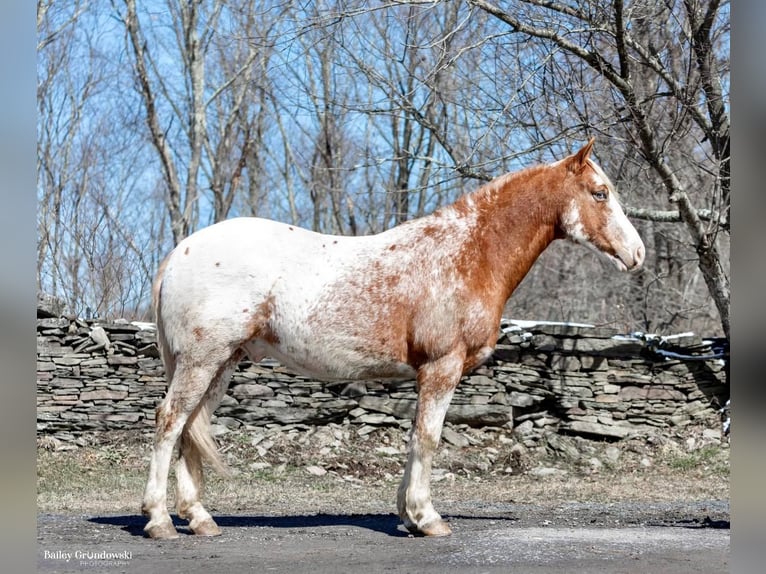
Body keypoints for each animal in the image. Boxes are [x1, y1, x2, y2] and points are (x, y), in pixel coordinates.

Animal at [141, 138, 644, 540]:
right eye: (600, 193)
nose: (637, 254)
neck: (466, 254)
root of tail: (180, 252)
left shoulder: (426, 373)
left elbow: (414, 437)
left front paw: (407, 515)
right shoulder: (442, 367)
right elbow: (429, 438)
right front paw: (428, 518)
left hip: (221, 363)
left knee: (191, 426)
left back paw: (200, 519)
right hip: (202, 360)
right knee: (170, 421)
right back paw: (160, 521)